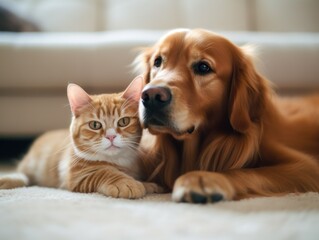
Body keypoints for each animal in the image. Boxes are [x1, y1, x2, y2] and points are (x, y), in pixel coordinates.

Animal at [0, 77, 161, 199]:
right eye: (95, 125)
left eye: (124, 121)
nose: (111, 136)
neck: (117, 161)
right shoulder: (77, 176)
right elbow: (103, 172)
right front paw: (125, 182)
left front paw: (148, 184)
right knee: (23, 175)